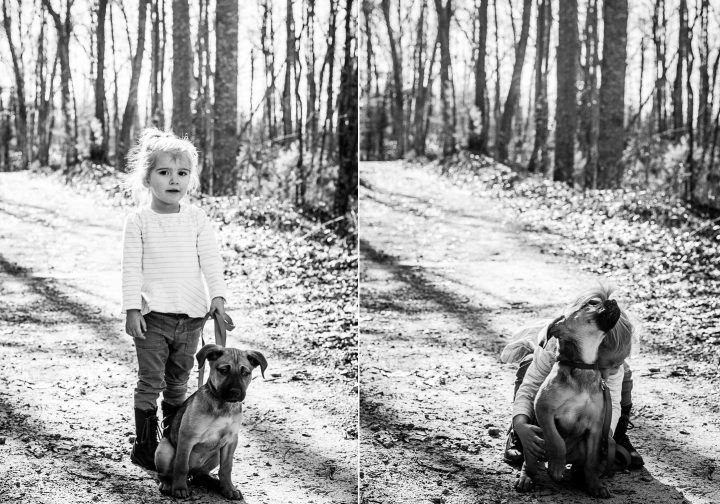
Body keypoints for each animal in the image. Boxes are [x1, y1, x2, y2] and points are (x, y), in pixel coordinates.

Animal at [156, 344, 268, 498]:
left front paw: (229, 488)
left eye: (245, 373)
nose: (235, 392)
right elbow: (181, 465)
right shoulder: (187, 437)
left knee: (199, 474)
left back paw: (213, 482)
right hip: (164, 449)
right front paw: (179, 488)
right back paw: (168, 483)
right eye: (224, 371)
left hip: (216, 454)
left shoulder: (231, 441)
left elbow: (226, 468)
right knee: (166, 473)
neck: (223, 405)